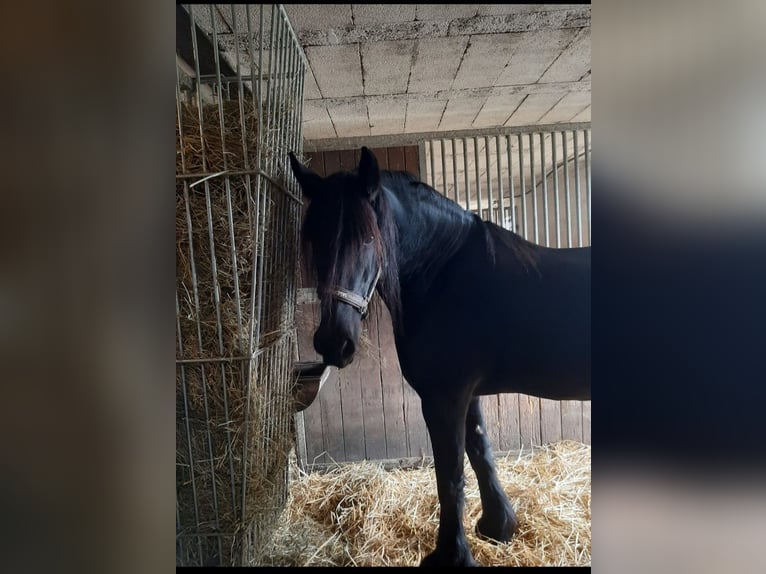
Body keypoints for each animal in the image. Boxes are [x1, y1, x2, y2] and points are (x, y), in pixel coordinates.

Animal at [290, 147, 592, 568]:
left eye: (368, 239)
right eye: (315, 240)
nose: (335, 342)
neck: (443, 276)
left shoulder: (443, 398)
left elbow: (449, 474)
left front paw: (451, 555)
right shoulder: (468, 393)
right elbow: (480, 451)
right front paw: (497, 527)